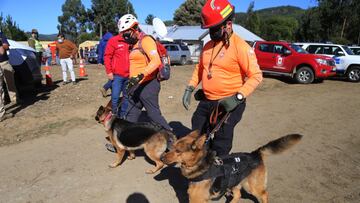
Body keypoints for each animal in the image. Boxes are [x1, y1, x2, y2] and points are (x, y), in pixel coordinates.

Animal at [162, 131, 302, 202]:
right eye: (172, 147)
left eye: (178, 151)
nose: (162, 158)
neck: (200, 165)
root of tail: (255, 153)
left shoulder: (197, 200)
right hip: (235, 181)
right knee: (238, 195)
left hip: (251, 187)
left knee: (264, 195)